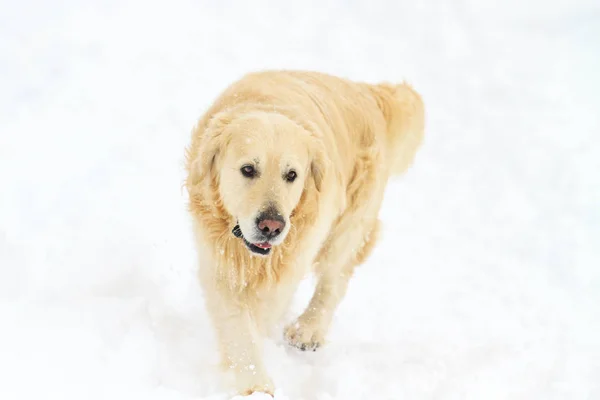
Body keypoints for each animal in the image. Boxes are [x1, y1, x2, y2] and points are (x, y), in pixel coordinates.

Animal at [185, 70, 424, 396]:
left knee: (335, 279)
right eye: (248, 169)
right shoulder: (219, 261)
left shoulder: (291, 259)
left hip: (349, 225)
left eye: (292, 175)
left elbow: (263, 311)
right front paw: (255, 384)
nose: (272, 226)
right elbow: (237, 326)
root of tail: (365, 91)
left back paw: (307, 330)